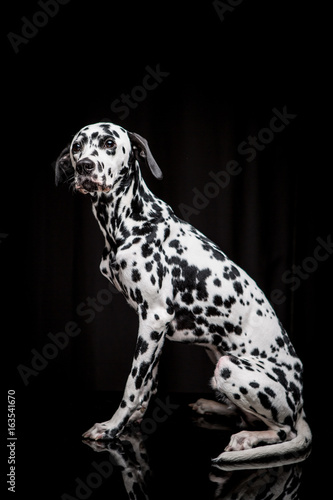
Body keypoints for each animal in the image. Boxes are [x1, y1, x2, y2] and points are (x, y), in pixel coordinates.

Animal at [55, 121, 312, 468]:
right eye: (77, 147)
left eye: (109, 143)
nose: (85, 166)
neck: (129, 222)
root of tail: (300, 405)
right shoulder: (153, 327)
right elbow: (147, 383)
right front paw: (133, 419)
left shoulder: (153, 319)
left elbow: (132, 384)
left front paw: (112, 427)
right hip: (215, 355)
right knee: (243, 414)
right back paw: (213, 406)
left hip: (229, 367)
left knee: (280, 430)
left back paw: (248, 439)